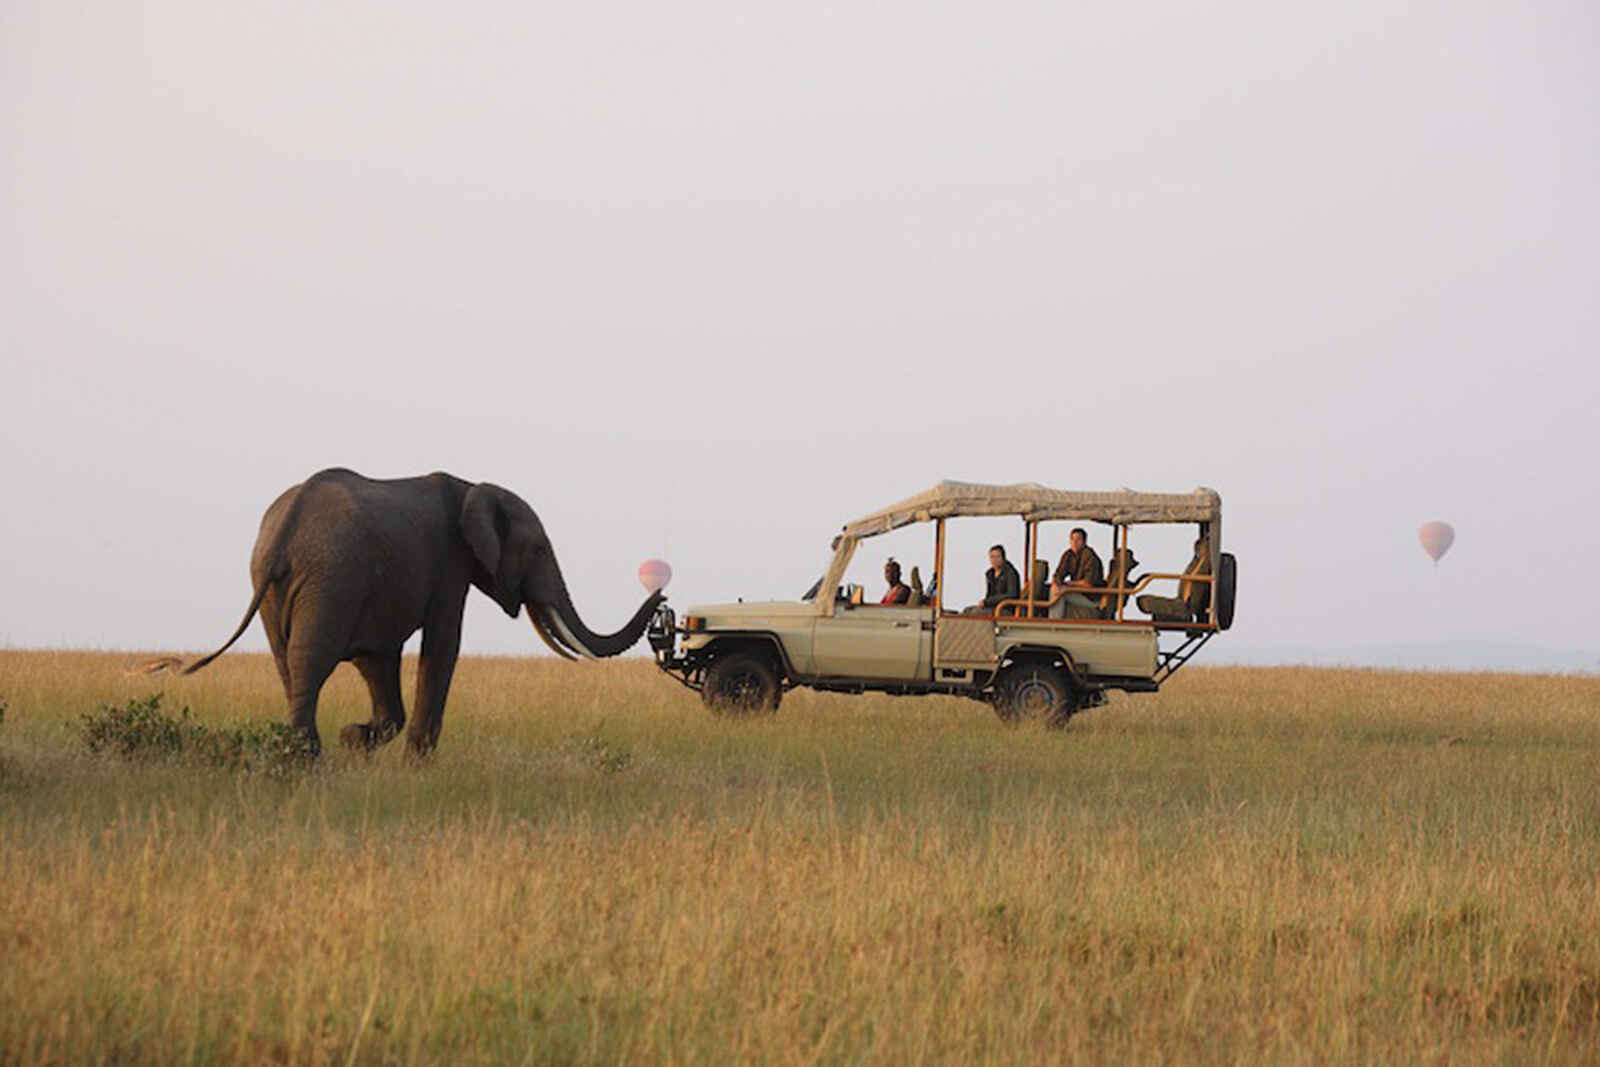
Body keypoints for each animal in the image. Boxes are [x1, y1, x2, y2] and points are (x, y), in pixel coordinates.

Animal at [169, 468, 665, 756]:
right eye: (540, 549)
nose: (661, 593)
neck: (471, 488)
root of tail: (283, 531)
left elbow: (377, 658)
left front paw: (356, 738)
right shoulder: (450, 562)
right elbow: (442, 645)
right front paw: (414, 762)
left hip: (278, 587)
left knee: (287, 665)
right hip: (331, 578)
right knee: (310, 664)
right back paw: (307, 761)